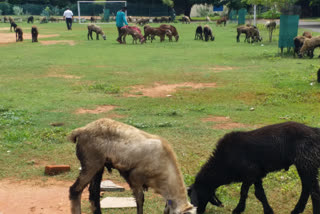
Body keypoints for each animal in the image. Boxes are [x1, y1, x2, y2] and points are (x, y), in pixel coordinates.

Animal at [188, 122, 320, 214]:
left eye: (198, 195)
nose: (198, 211)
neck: (223, 163)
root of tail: (314, 131)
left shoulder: (251, 173)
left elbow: (244, 192)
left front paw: (238, 210)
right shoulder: (256, 175)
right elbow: (259, 193)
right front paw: (268, 210)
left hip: (307, 162)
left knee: (314, 191)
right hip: (304, 165)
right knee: (306, 187)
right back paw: (296, 210)